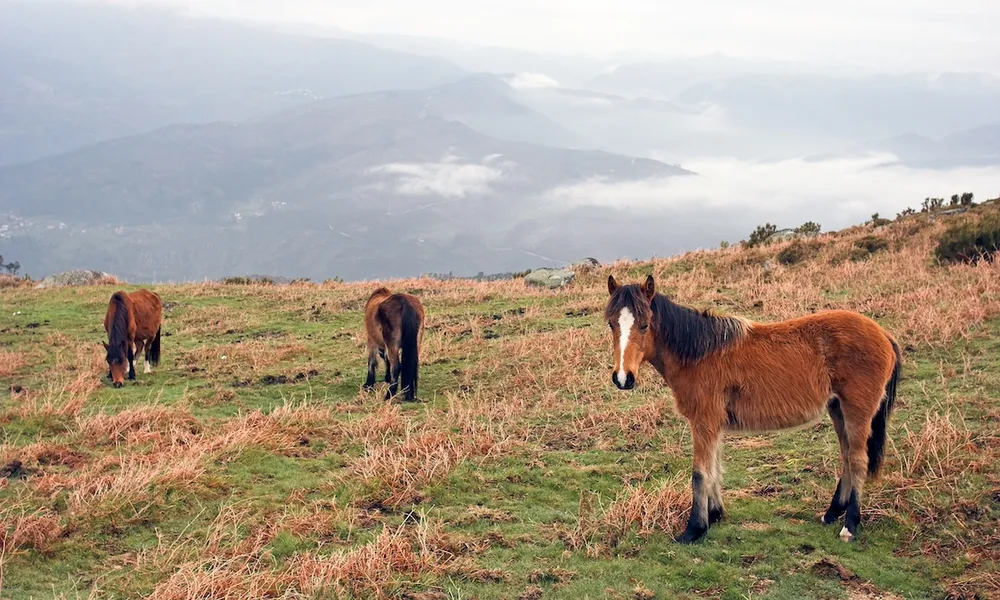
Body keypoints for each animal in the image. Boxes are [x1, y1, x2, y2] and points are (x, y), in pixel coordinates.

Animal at [605, 274, 901, 544]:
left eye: (645, 325)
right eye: (611, 324)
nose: (623, 378)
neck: (699, 353)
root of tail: (883, 334)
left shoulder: (704, 421)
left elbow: (700, 473)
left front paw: (694, 529)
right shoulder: (713, 425)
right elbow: (714, 467)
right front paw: (715, 514)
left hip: (857, 412)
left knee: (858, 461)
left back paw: (850, 525)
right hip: (838, 410)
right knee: (847, 457)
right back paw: (831, 513)